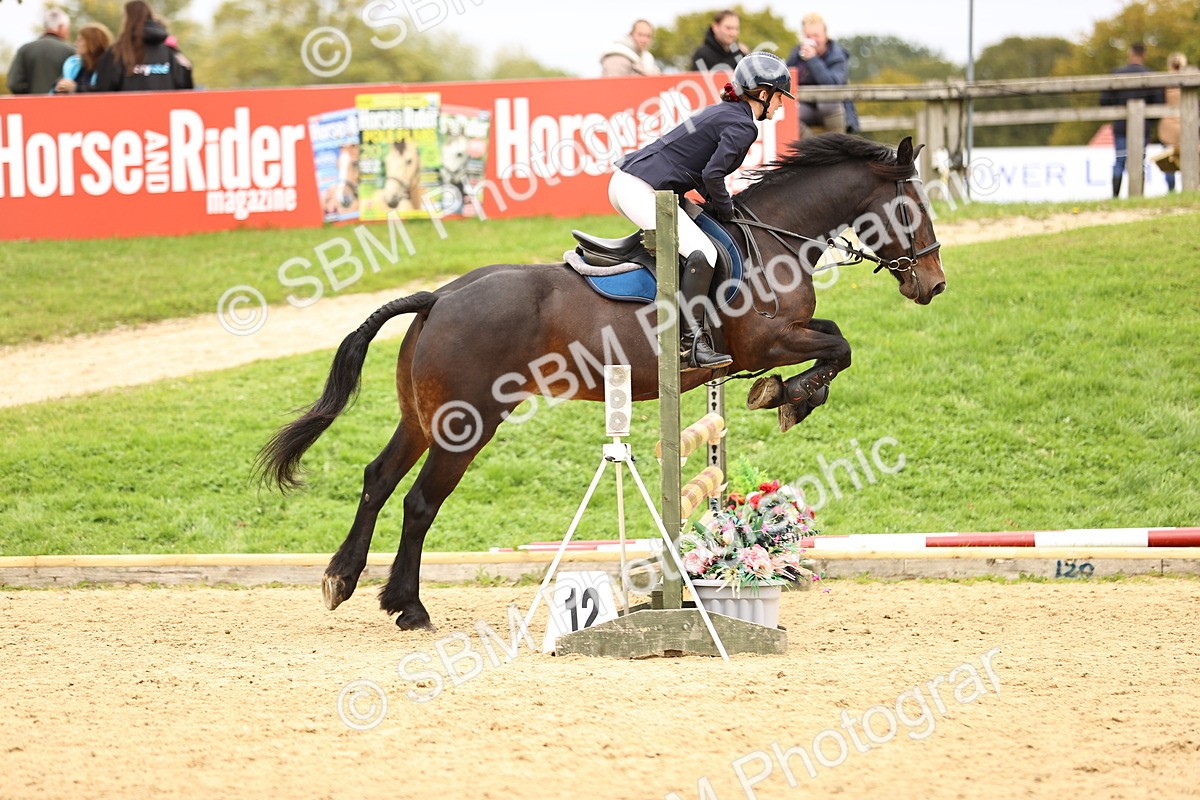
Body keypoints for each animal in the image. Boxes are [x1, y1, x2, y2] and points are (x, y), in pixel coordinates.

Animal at [257, 134, 946, 631]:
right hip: (465, 425)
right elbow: (840, 346)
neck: (776, 237)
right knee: (420, 502)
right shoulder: (768, 341)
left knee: (377, 480)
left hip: (422, 418)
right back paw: (409, 607)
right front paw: (787, 398)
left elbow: (834, 339)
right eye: (912, 208)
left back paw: (342, 580)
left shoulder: (779, 339)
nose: (933, 285)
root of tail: (439, 297)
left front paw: (786, 395)